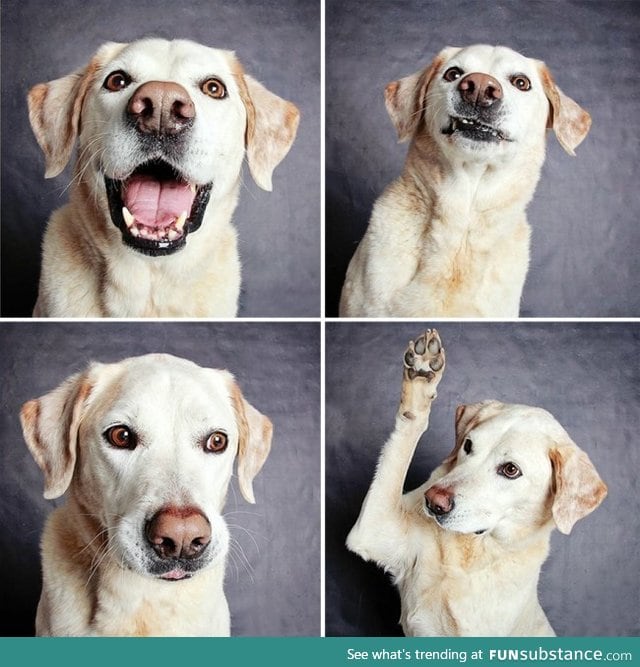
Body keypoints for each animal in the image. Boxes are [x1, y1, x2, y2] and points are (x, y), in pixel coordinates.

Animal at [348, 332, 608, 640]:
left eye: (510, 470)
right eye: (469, 445)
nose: (433, 502)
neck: (473, 552)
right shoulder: (373, 529)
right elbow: (402, 442)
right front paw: (422, 376)